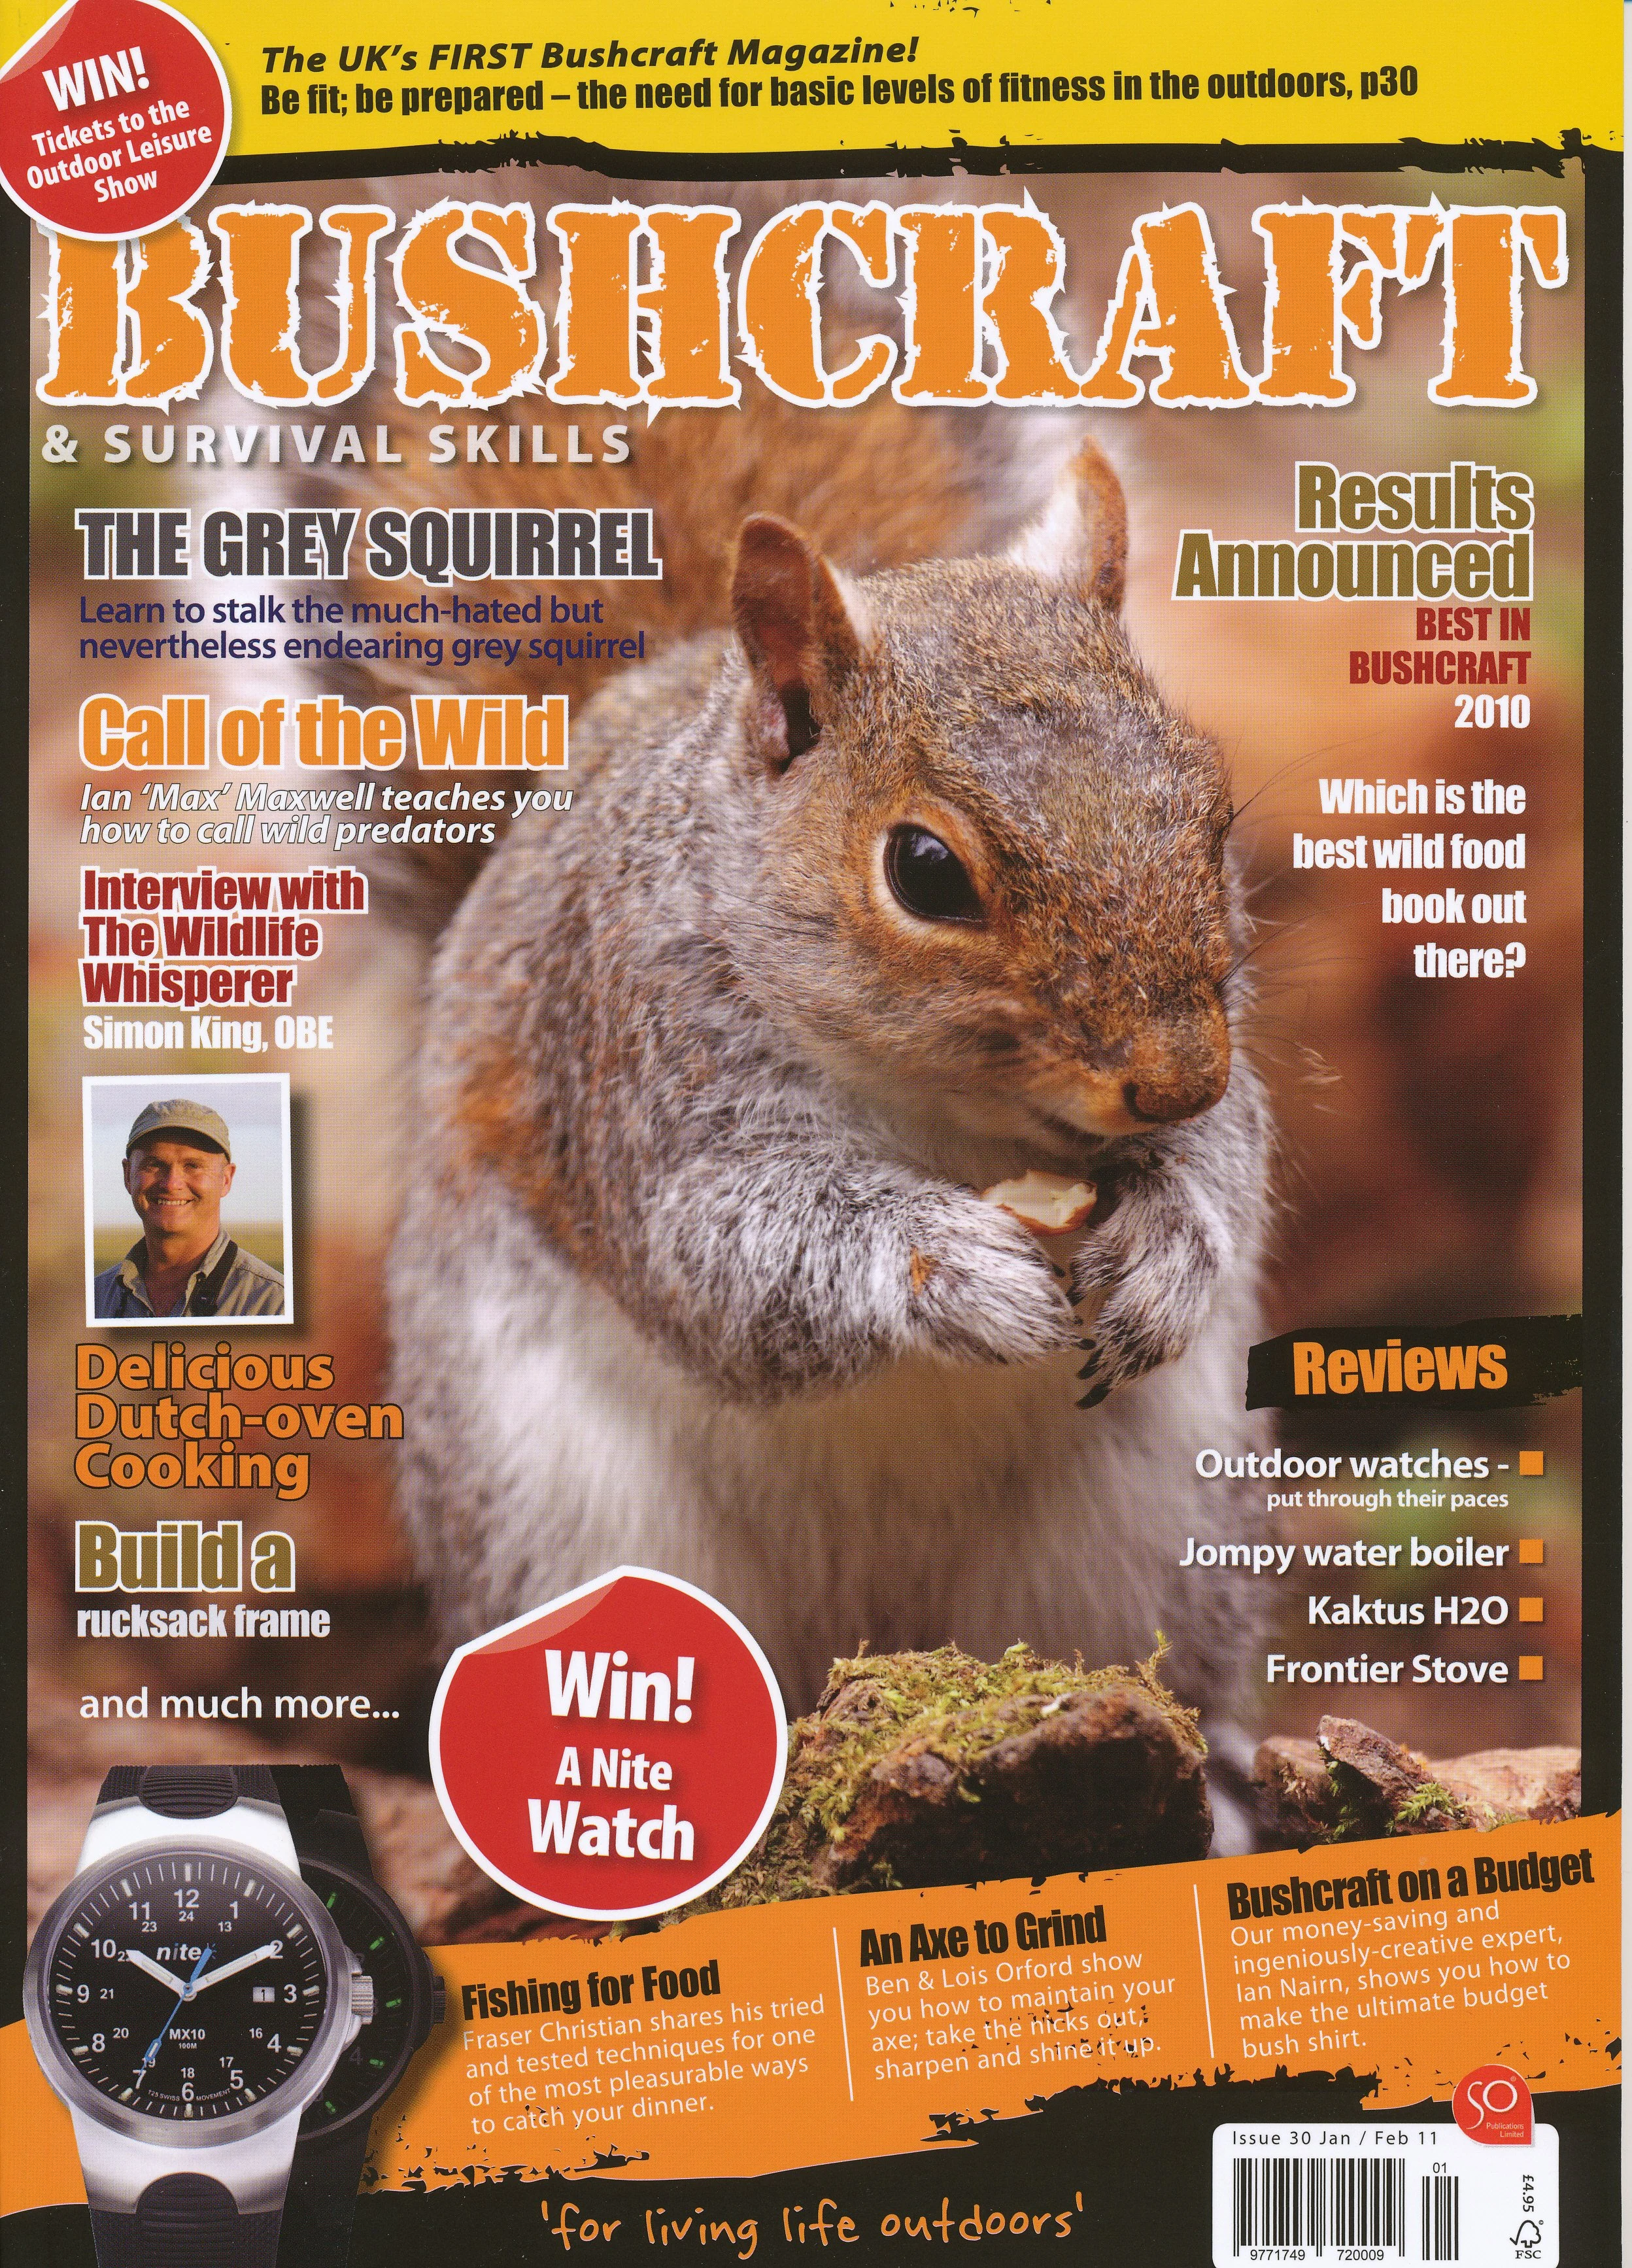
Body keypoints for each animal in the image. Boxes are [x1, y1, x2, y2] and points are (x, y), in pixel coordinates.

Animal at [370, 351, 1276, 1735]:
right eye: (925, 871)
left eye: (1213, 814)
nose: (1173, 1078)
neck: (940, 1104)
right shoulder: (628, 1064)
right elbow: (721, 1260)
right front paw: (941, 1264)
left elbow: (1234, 1160)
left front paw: (1171, 1241)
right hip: (546, 1508)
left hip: (1160, 1518)